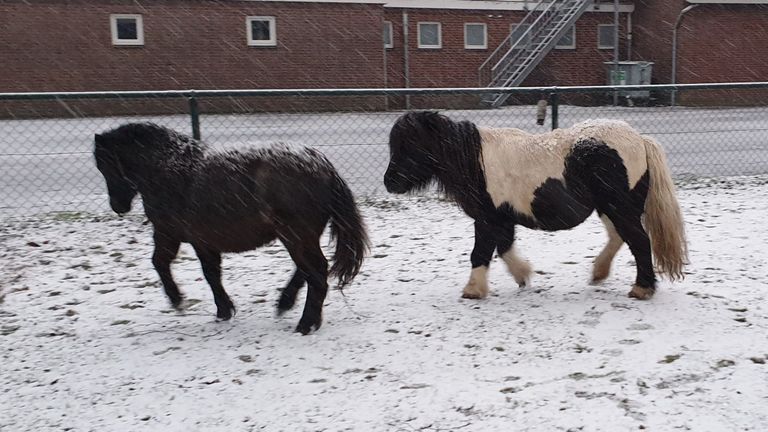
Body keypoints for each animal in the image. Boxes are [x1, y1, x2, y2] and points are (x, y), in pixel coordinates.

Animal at [94, 122, 370, 334]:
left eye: (106, 164)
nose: (117, 205)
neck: (168, 166)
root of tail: (323, 165)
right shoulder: (202, 241)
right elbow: (211, 273)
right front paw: (223, 309)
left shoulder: (168, 233)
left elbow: (163, 263)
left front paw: (178, 299)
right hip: (300, 237)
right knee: (307, 271)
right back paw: (290, 306)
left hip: (296, 236)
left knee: (316, 273)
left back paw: (304, 323)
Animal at [384, 111, 688, 300]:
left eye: (410, 145)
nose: (389, 182)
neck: (475, 162)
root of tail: (640, 140)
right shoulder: (501, 219)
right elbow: (504, 248)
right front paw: (523, 276)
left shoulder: (487, 219)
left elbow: (480, 252)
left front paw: (473, 290)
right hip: (610, 208)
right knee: (620, 237)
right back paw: (599, 273)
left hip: (619, 207)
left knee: (638, 241)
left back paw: (641, 288)